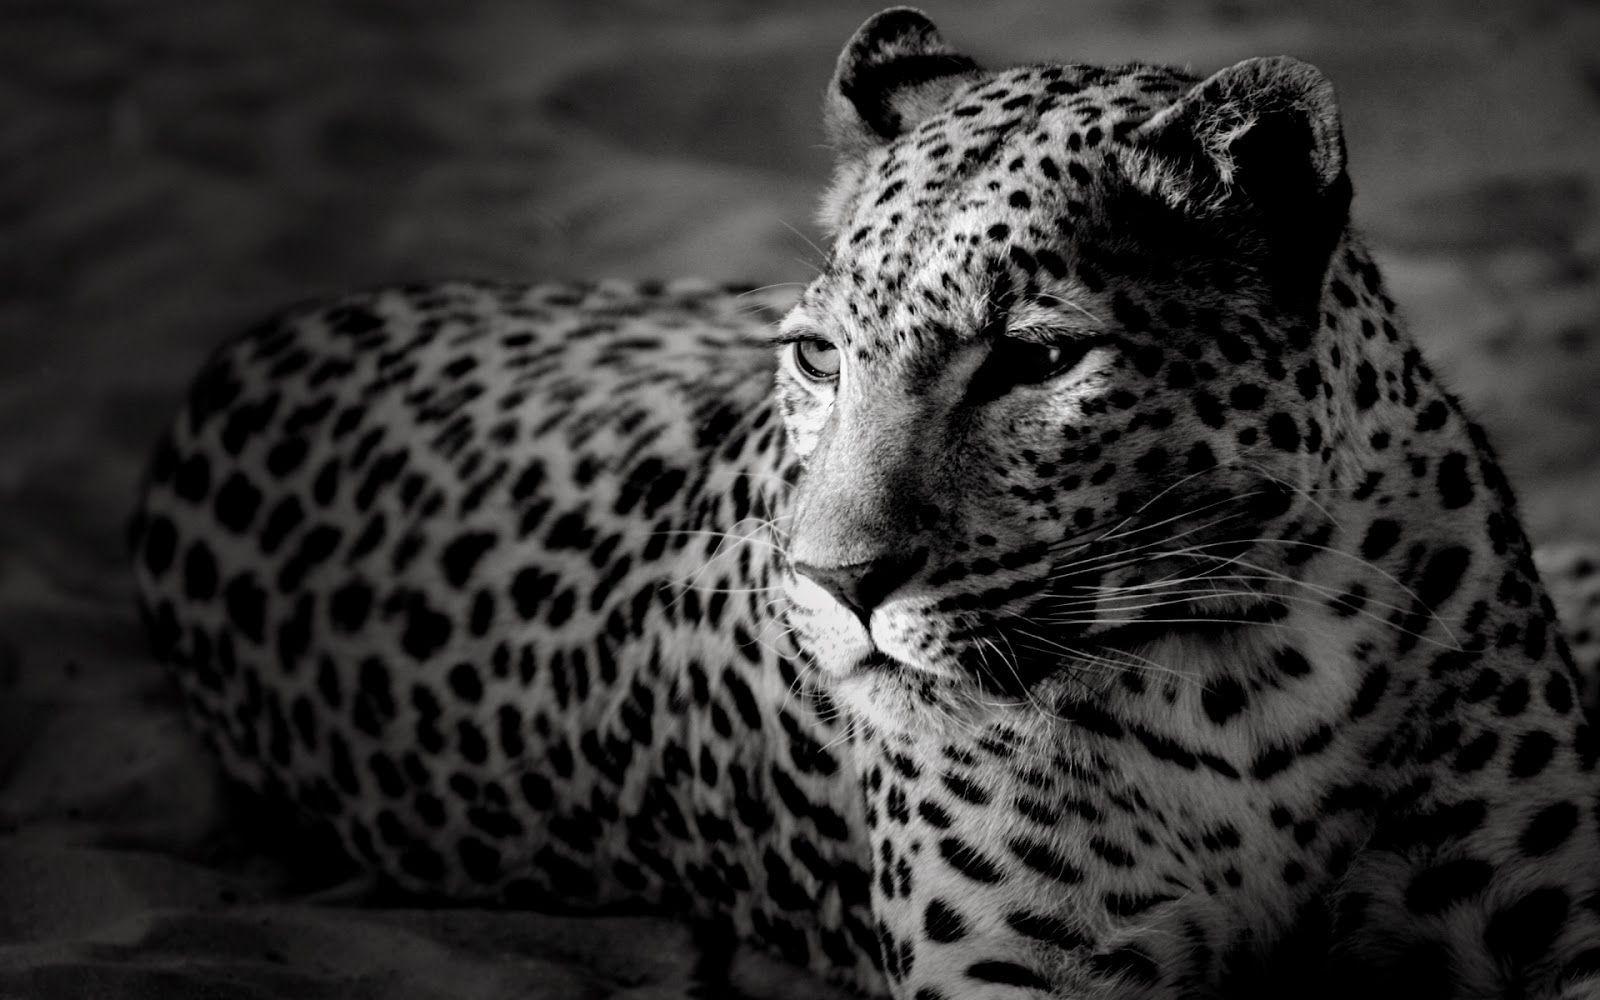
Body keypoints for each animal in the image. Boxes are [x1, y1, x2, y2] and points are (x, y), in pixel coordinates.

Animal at [130, 8, 1600, 998]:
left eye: (1036, 361)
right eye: (818, 356)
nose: (835, 586)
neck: (1244, 675)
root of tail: (251, 346)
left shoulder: (1556, 905)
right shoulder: (1023, 975)